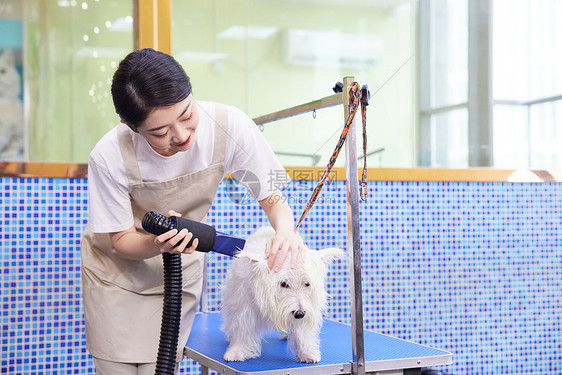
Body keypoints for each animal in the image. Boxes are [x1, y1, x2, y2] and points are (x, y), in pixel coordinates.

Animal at [219, 226, 342, 364]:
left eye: (307, 284)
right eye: (283, 284)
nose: (299, 314)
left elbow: (301, 332)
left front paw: (306, 353)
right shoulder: (244, 304)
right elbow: (242, 326)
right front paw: (236, 351)